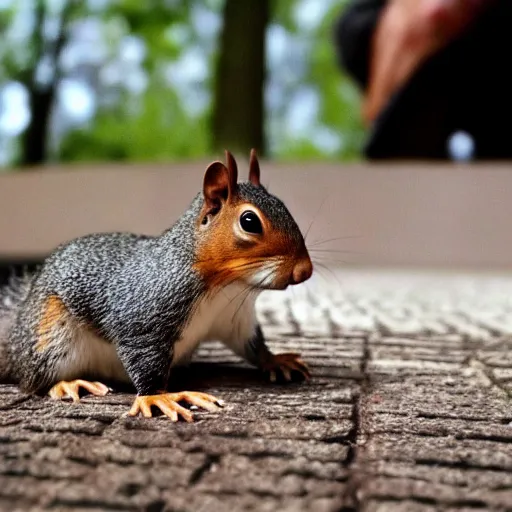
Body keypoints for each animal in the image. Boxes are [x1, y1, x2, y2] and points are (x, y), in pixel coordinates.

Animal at [0, 150, 312, 422]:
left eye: (283, 205)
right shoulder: (144, 311)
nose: (305, 270)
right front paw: (158, 397)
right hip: (49, 334)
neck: (226, 286)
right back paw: (68, 383)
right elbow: (142, 354)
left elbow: (250, 345)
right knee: (34, 380)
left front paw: (275, 360)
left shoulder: (233, 319)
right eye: (249, 221)